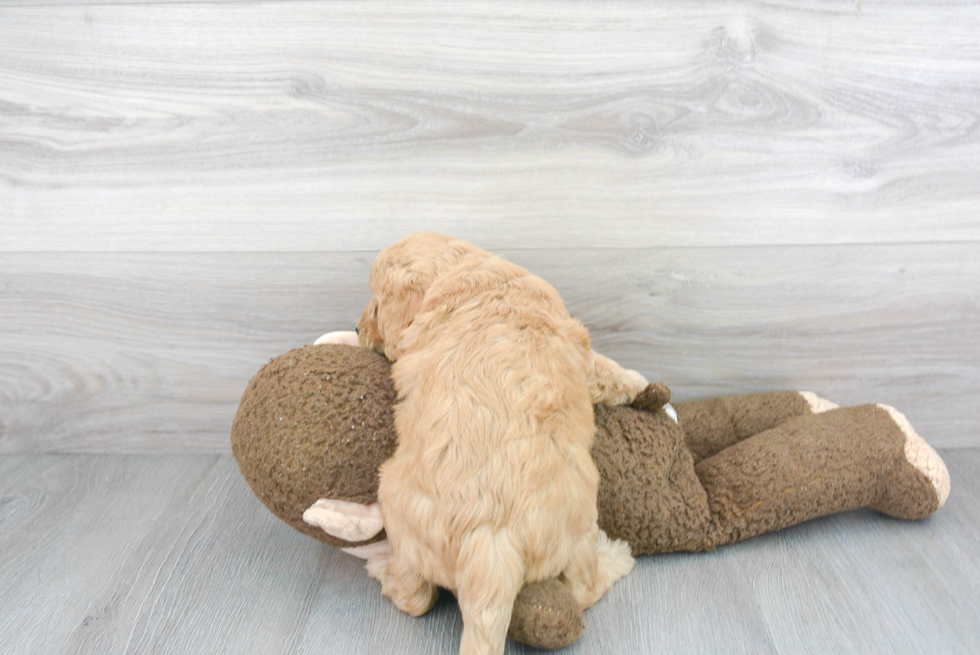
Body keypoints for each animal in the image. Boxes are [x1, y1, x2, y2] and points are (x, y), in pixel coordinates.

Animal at [356, 233, 648, 652]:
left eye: (376, 303)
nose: (356, 329)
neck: (461, 271)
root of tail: (491, 546)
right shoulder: (579, 348)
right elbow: (605, 369)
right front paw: (640, 383)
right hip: (577, 528)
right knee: (582, 589)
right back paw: (617, 555)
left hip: (400, 509)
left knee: (416, 597)